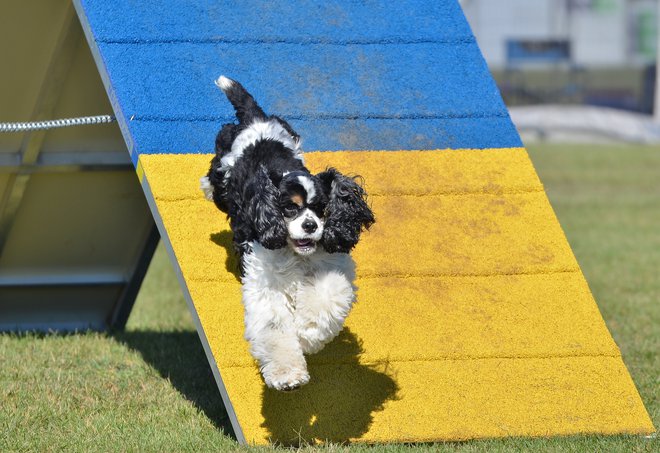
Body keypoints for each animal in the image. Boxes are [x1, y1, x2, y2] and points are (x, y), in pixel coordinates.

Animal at [199, 76, 374, 390]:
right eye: (289, 209)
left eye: (321, 208)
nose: (310, 226)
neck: (297, 254)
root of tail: (256, 119)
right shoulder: (265, 282)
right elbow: (274, 326)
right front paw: (287, 376)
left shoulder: (329, 267)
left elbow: (324, 299)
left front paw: (308, 335)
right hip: (223, 170)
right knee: (214, 179)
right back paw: (208, 186)